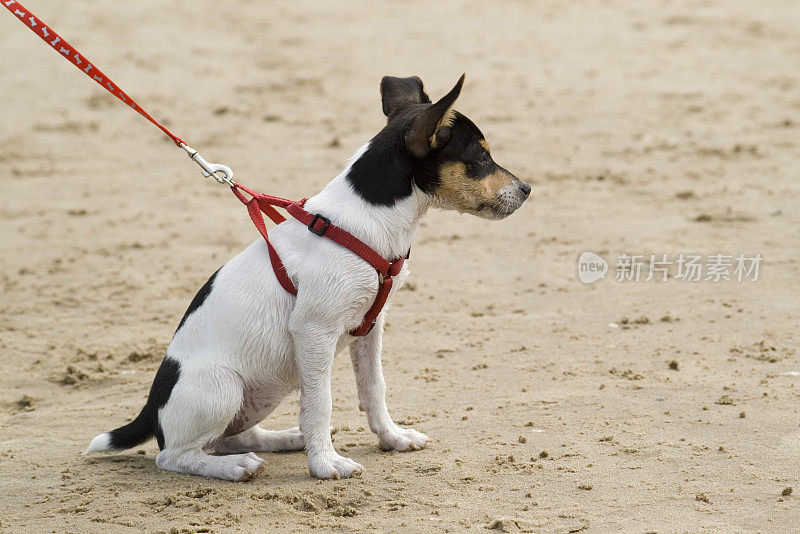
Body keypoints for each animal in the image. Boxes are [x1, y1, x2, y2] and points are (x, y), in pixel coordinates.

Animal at [86, 74, 532, 482]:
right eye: (481, 159)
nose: (527, 189)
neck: (367, 218)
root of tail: (153, 410)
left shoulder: (370, 327)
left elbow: (374, 389)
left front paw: (391, 438)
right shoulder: (314, 332)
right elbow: (320, 404)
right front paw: (325, 464)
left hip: (255, 397)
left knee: (231, 438)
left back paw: (283, 440)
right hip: (222, 386)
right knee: (175, 456)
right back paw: (235, 467)